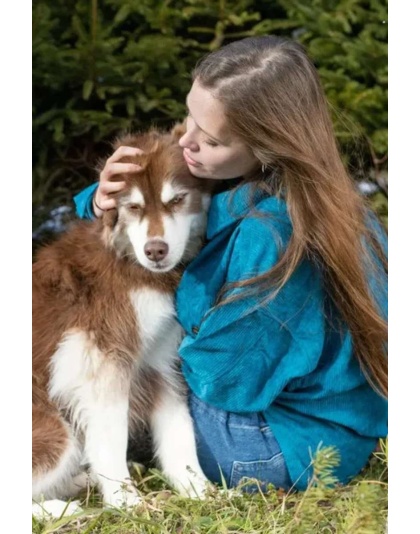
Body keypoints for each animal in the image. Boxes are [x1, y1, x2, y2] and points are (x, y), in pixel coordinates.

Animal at [32, 125, 213, 520]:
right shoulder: (101, 361)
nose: (155, 250)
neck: (129, 260)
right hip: (57, 429)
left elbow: (180, 434)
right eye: (133, 207)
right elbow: (112, 438)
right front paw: (125, 501)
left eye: (178, 200)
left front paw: (202, 491)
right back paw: (61, 509)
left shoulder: (161, 361)